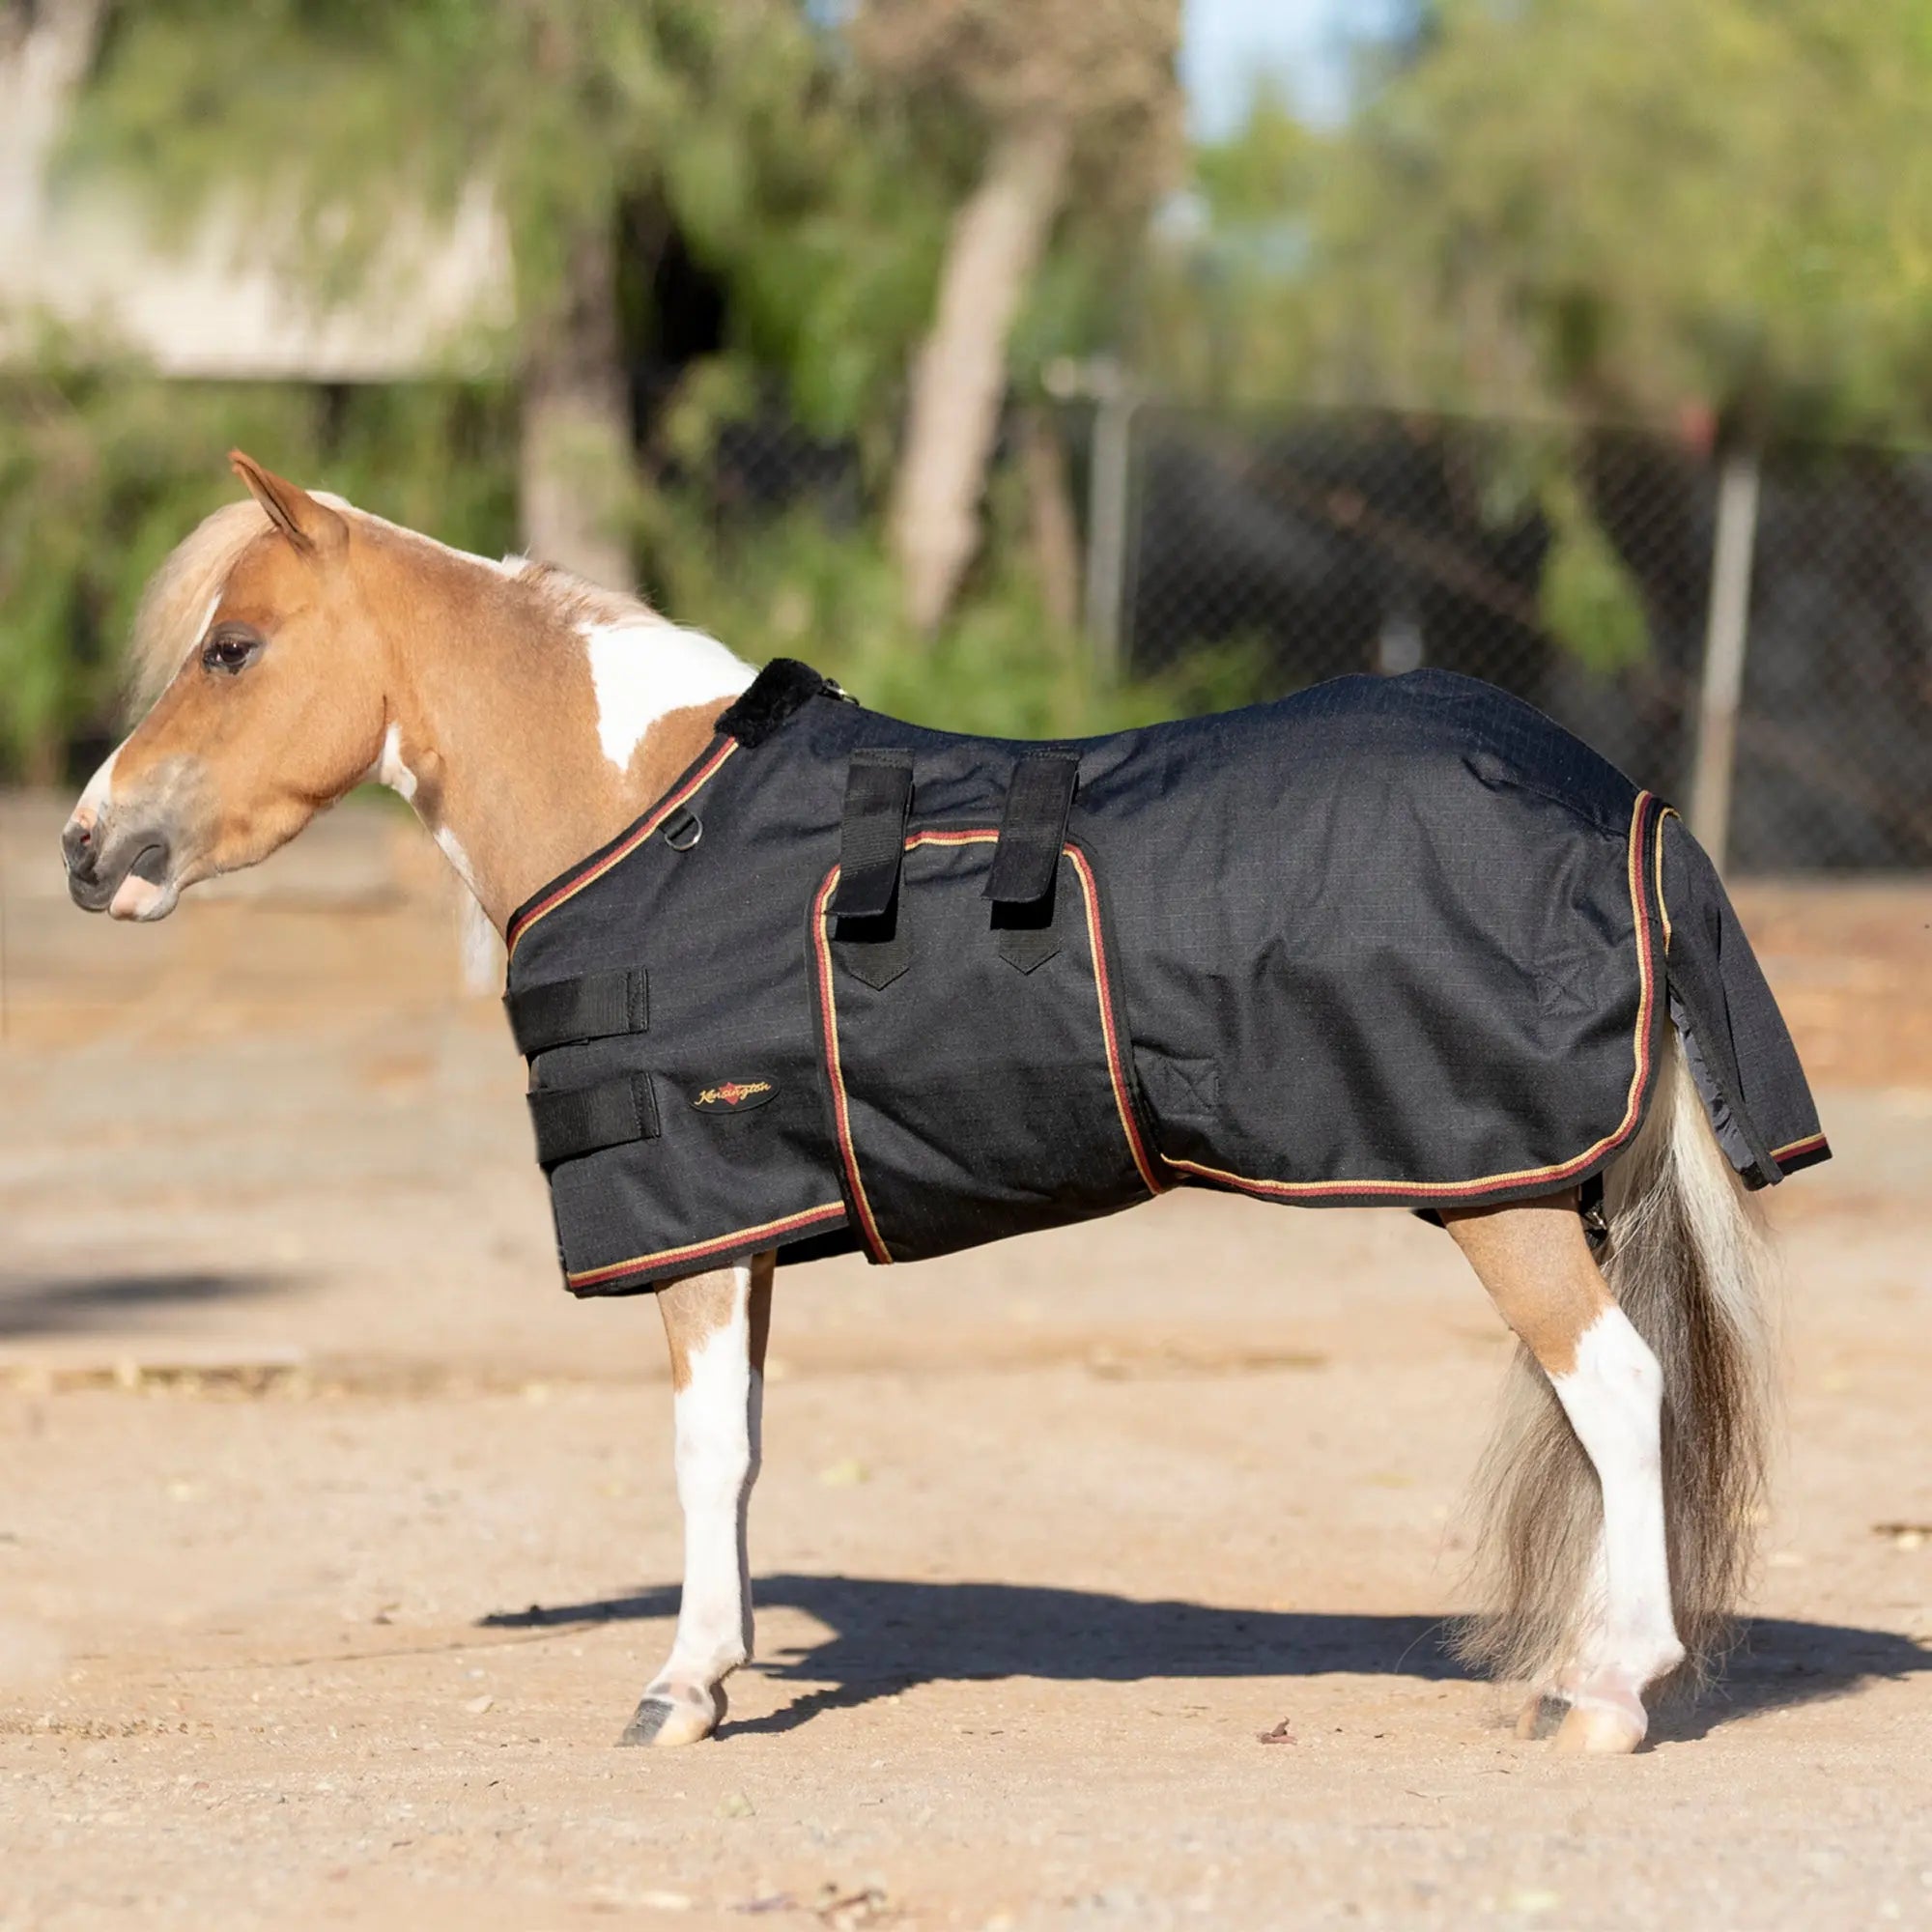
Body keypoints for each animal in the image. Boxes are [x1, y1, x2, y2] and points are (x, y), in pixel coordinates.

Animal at [62, 451, 1808, 1756]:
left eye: (233, 648)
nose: (87, 848)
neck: (649, 813)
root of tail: (1624, 804)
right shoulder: (751, 1228)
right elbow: (747, 1449)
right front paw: (725, 1663)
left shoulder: (694, 1229)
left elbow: (700, 1453)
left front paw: (682, 1687)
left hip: (1500, 1197)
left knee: (1619, 1391)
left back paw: (1608, 1694)